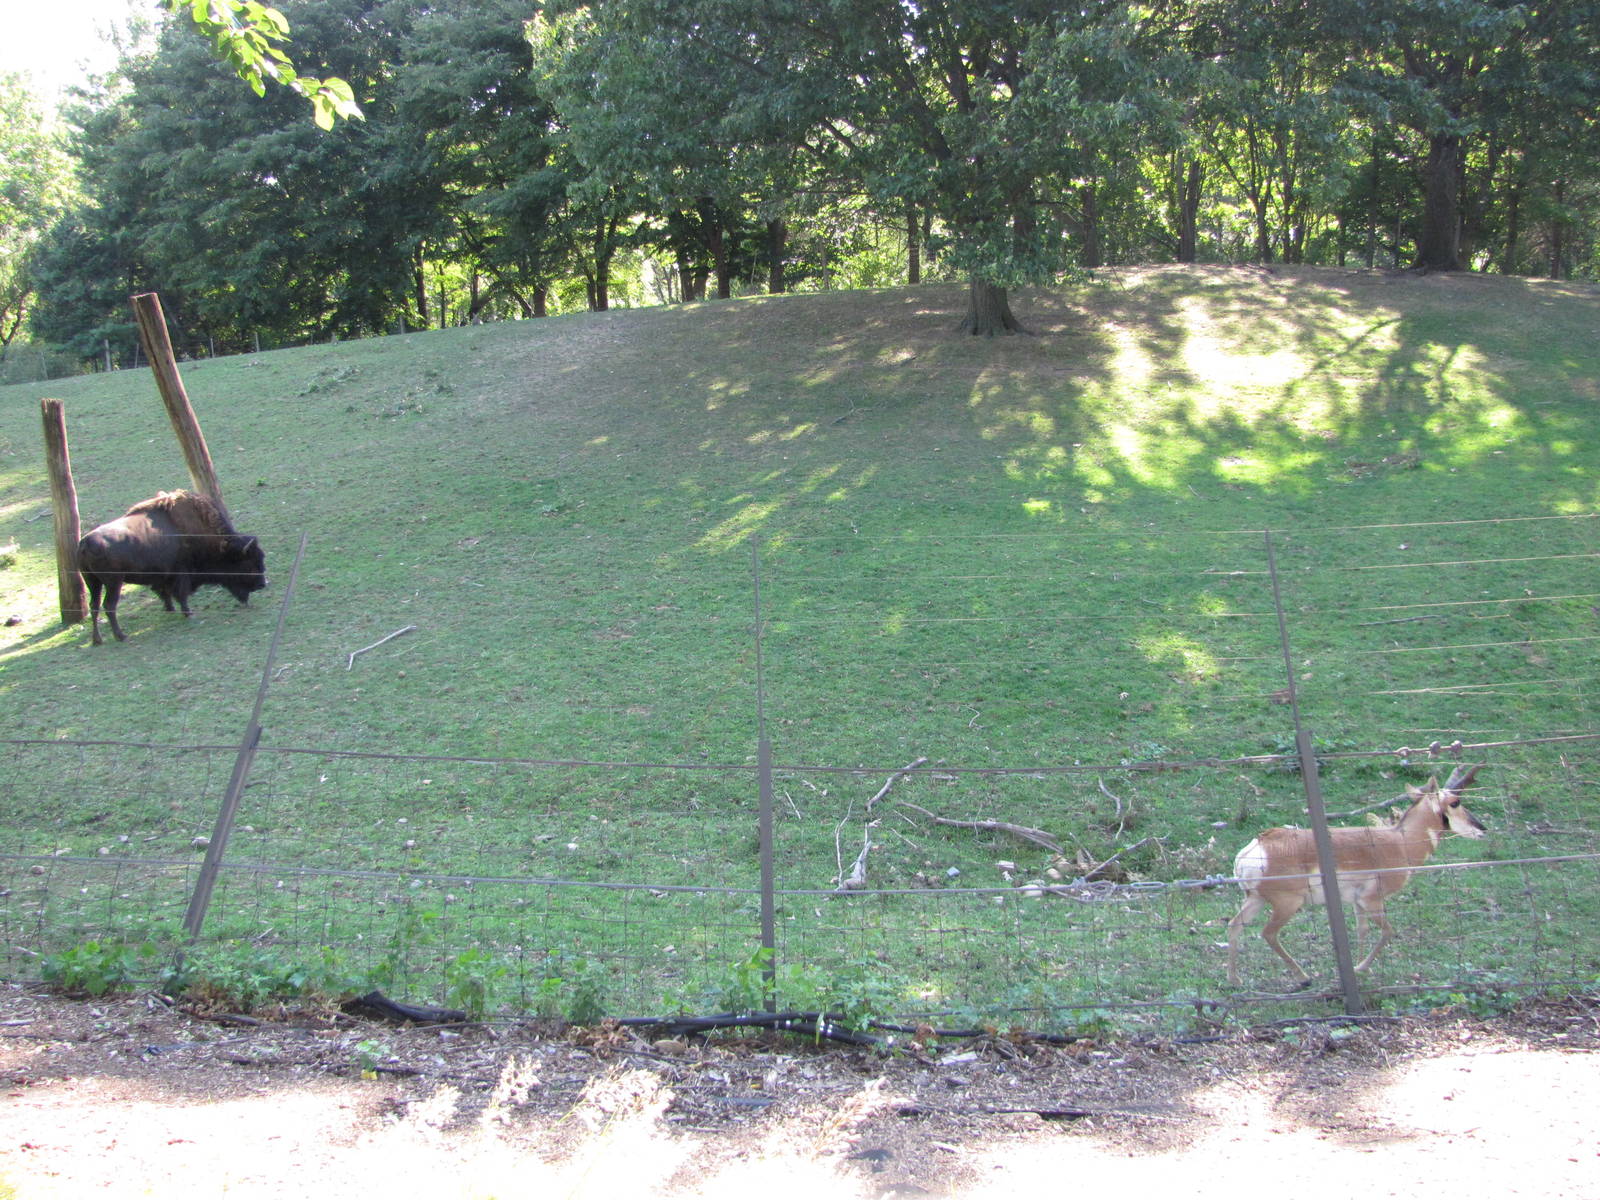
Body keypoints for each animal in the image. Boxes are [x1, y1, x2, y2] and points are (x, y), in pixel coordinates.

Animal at [76, 490, 267, 645]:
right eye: (249, 564)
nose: (262, 584)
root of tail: (85, 542)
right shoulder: (182, 572)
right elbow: (180, 593)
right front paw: (189, 613)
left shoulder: (164, 576)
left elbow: (165, 592)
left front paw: (170, 609)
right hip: (113, 583)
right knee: (109, 605)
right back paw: (121, 636)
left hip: (93, 583)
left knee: (94, 606)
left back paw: (97, 640)